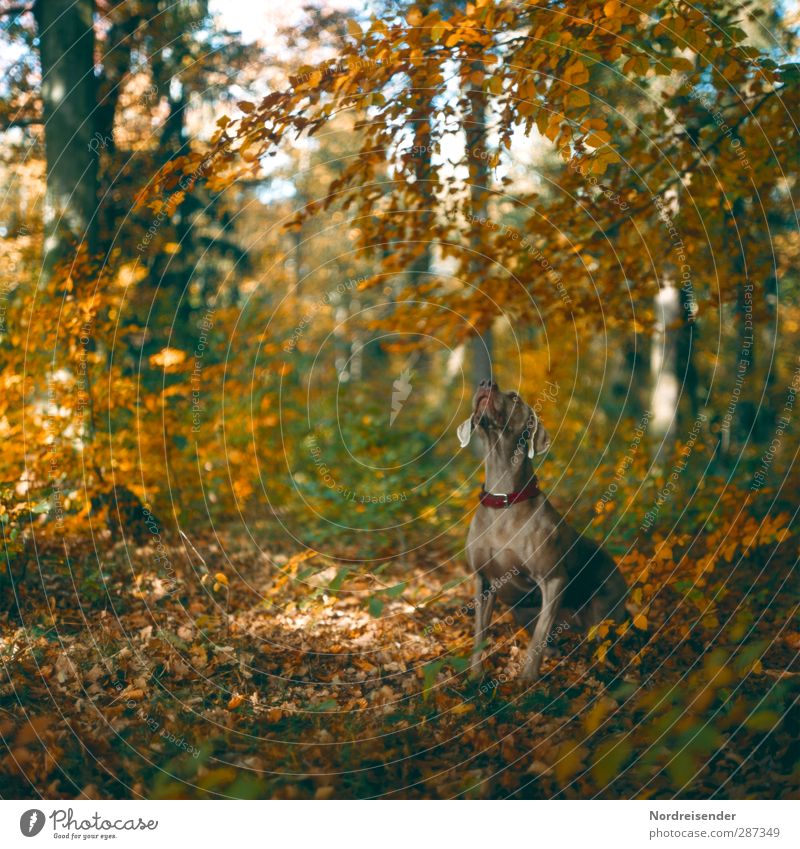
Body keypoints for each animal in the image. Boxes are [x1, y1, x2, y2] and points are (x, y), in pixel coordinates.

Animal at [460, 380, 628, 680]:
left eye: (514, 397)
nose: (486, 382)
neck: (504, 501)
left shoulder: (553, 580)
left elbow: (538, 637)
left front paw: (526, 681)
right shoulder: (483, 580)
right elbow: (480, 632)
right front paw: (475, 677)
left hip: (603, 611)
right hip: (521, 611)